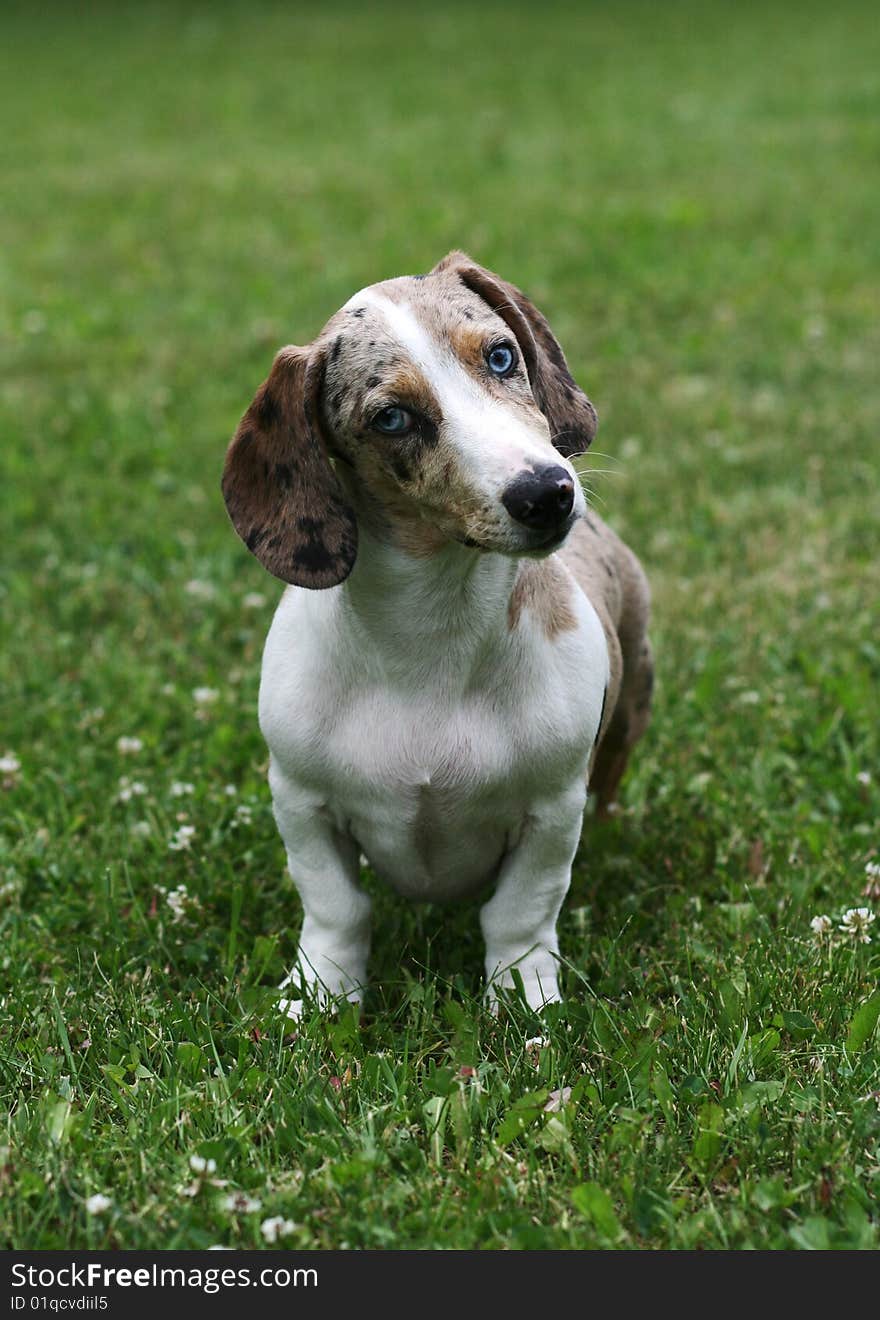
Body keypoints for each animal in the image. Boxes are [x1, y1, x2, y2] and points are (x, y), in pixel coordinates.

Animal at [224, 249, 654, 1008]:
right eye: (393, 418)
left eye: (503, 355)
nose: (548, 493)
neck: (433, 637)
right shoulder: (301, 802)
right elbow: (336, 908)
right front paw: (320, 995)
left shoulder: (550, 811)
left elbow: (519, 914)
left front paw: (523, 999)